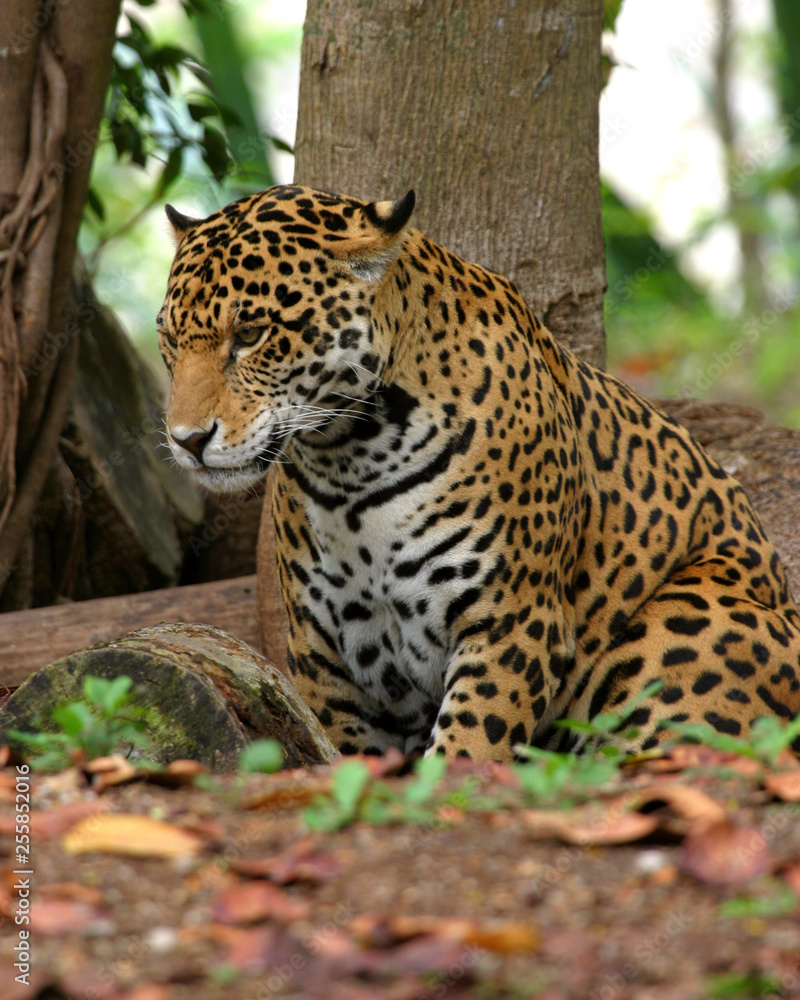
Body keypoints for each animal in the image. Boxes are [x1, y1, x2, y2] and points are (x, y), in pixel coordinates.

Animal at [157, 183, 800, 761]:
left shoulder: (511, 623)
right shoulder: (328, 657)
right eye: (169, 340)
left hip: (682, 621)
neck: (351, 461)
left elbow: (468, 749)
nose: (186, 440)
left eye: (251, 334)